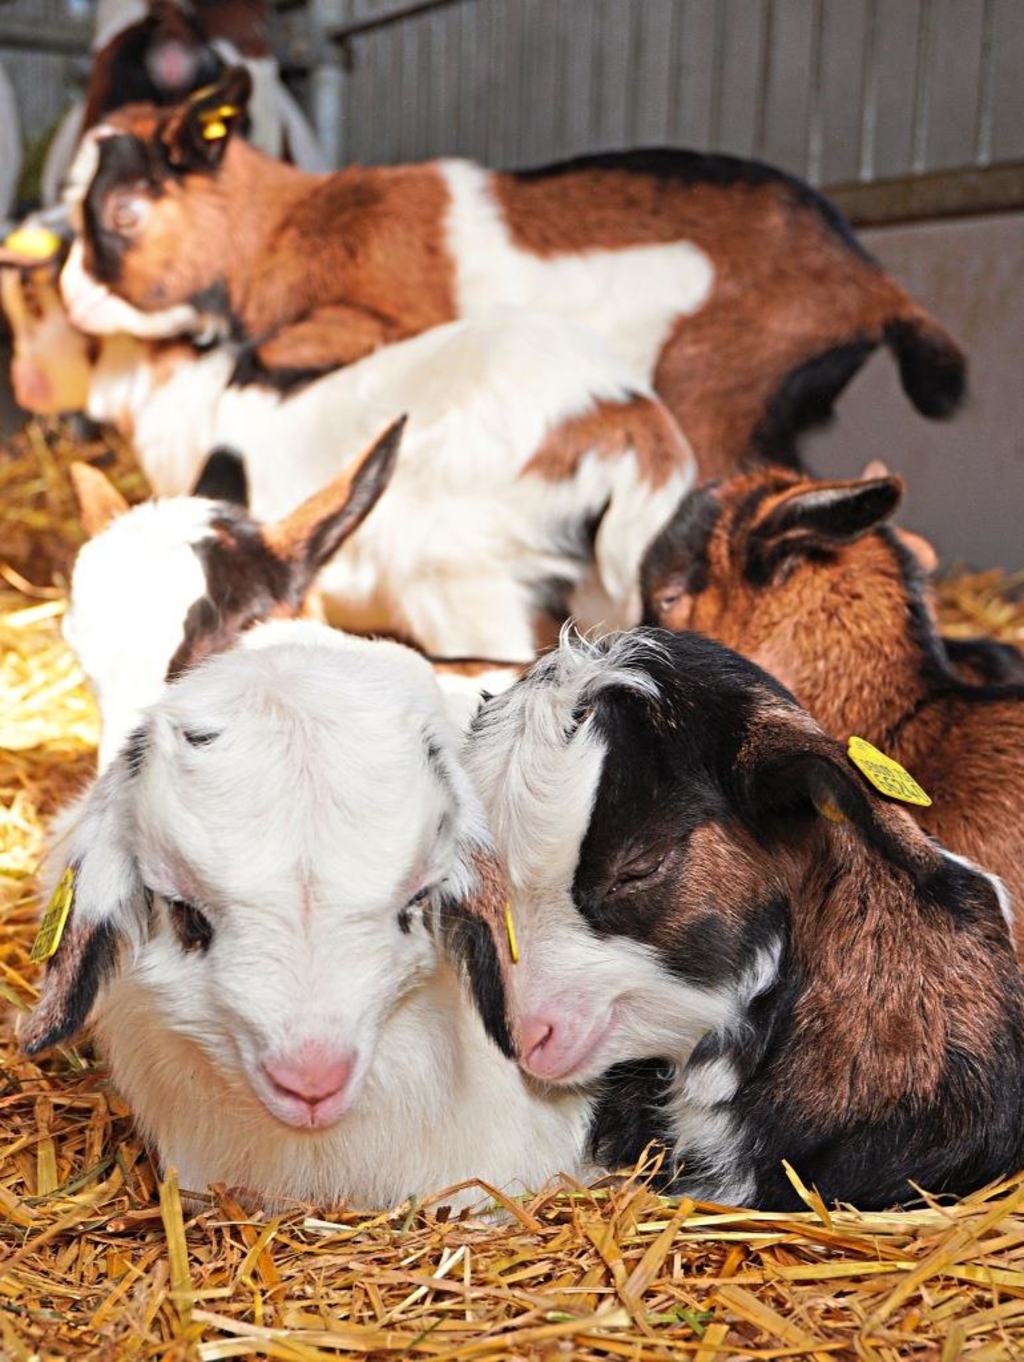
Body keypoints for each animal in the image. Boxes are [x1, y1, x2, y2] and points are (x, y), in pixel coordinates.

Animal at [58, 68, 966, 477]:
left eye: (124, 213)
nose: (70, 297)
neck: (291, 224)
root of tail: (873, 284)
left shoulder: (372, 320)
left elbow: (272, 360)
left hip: (720, 385)